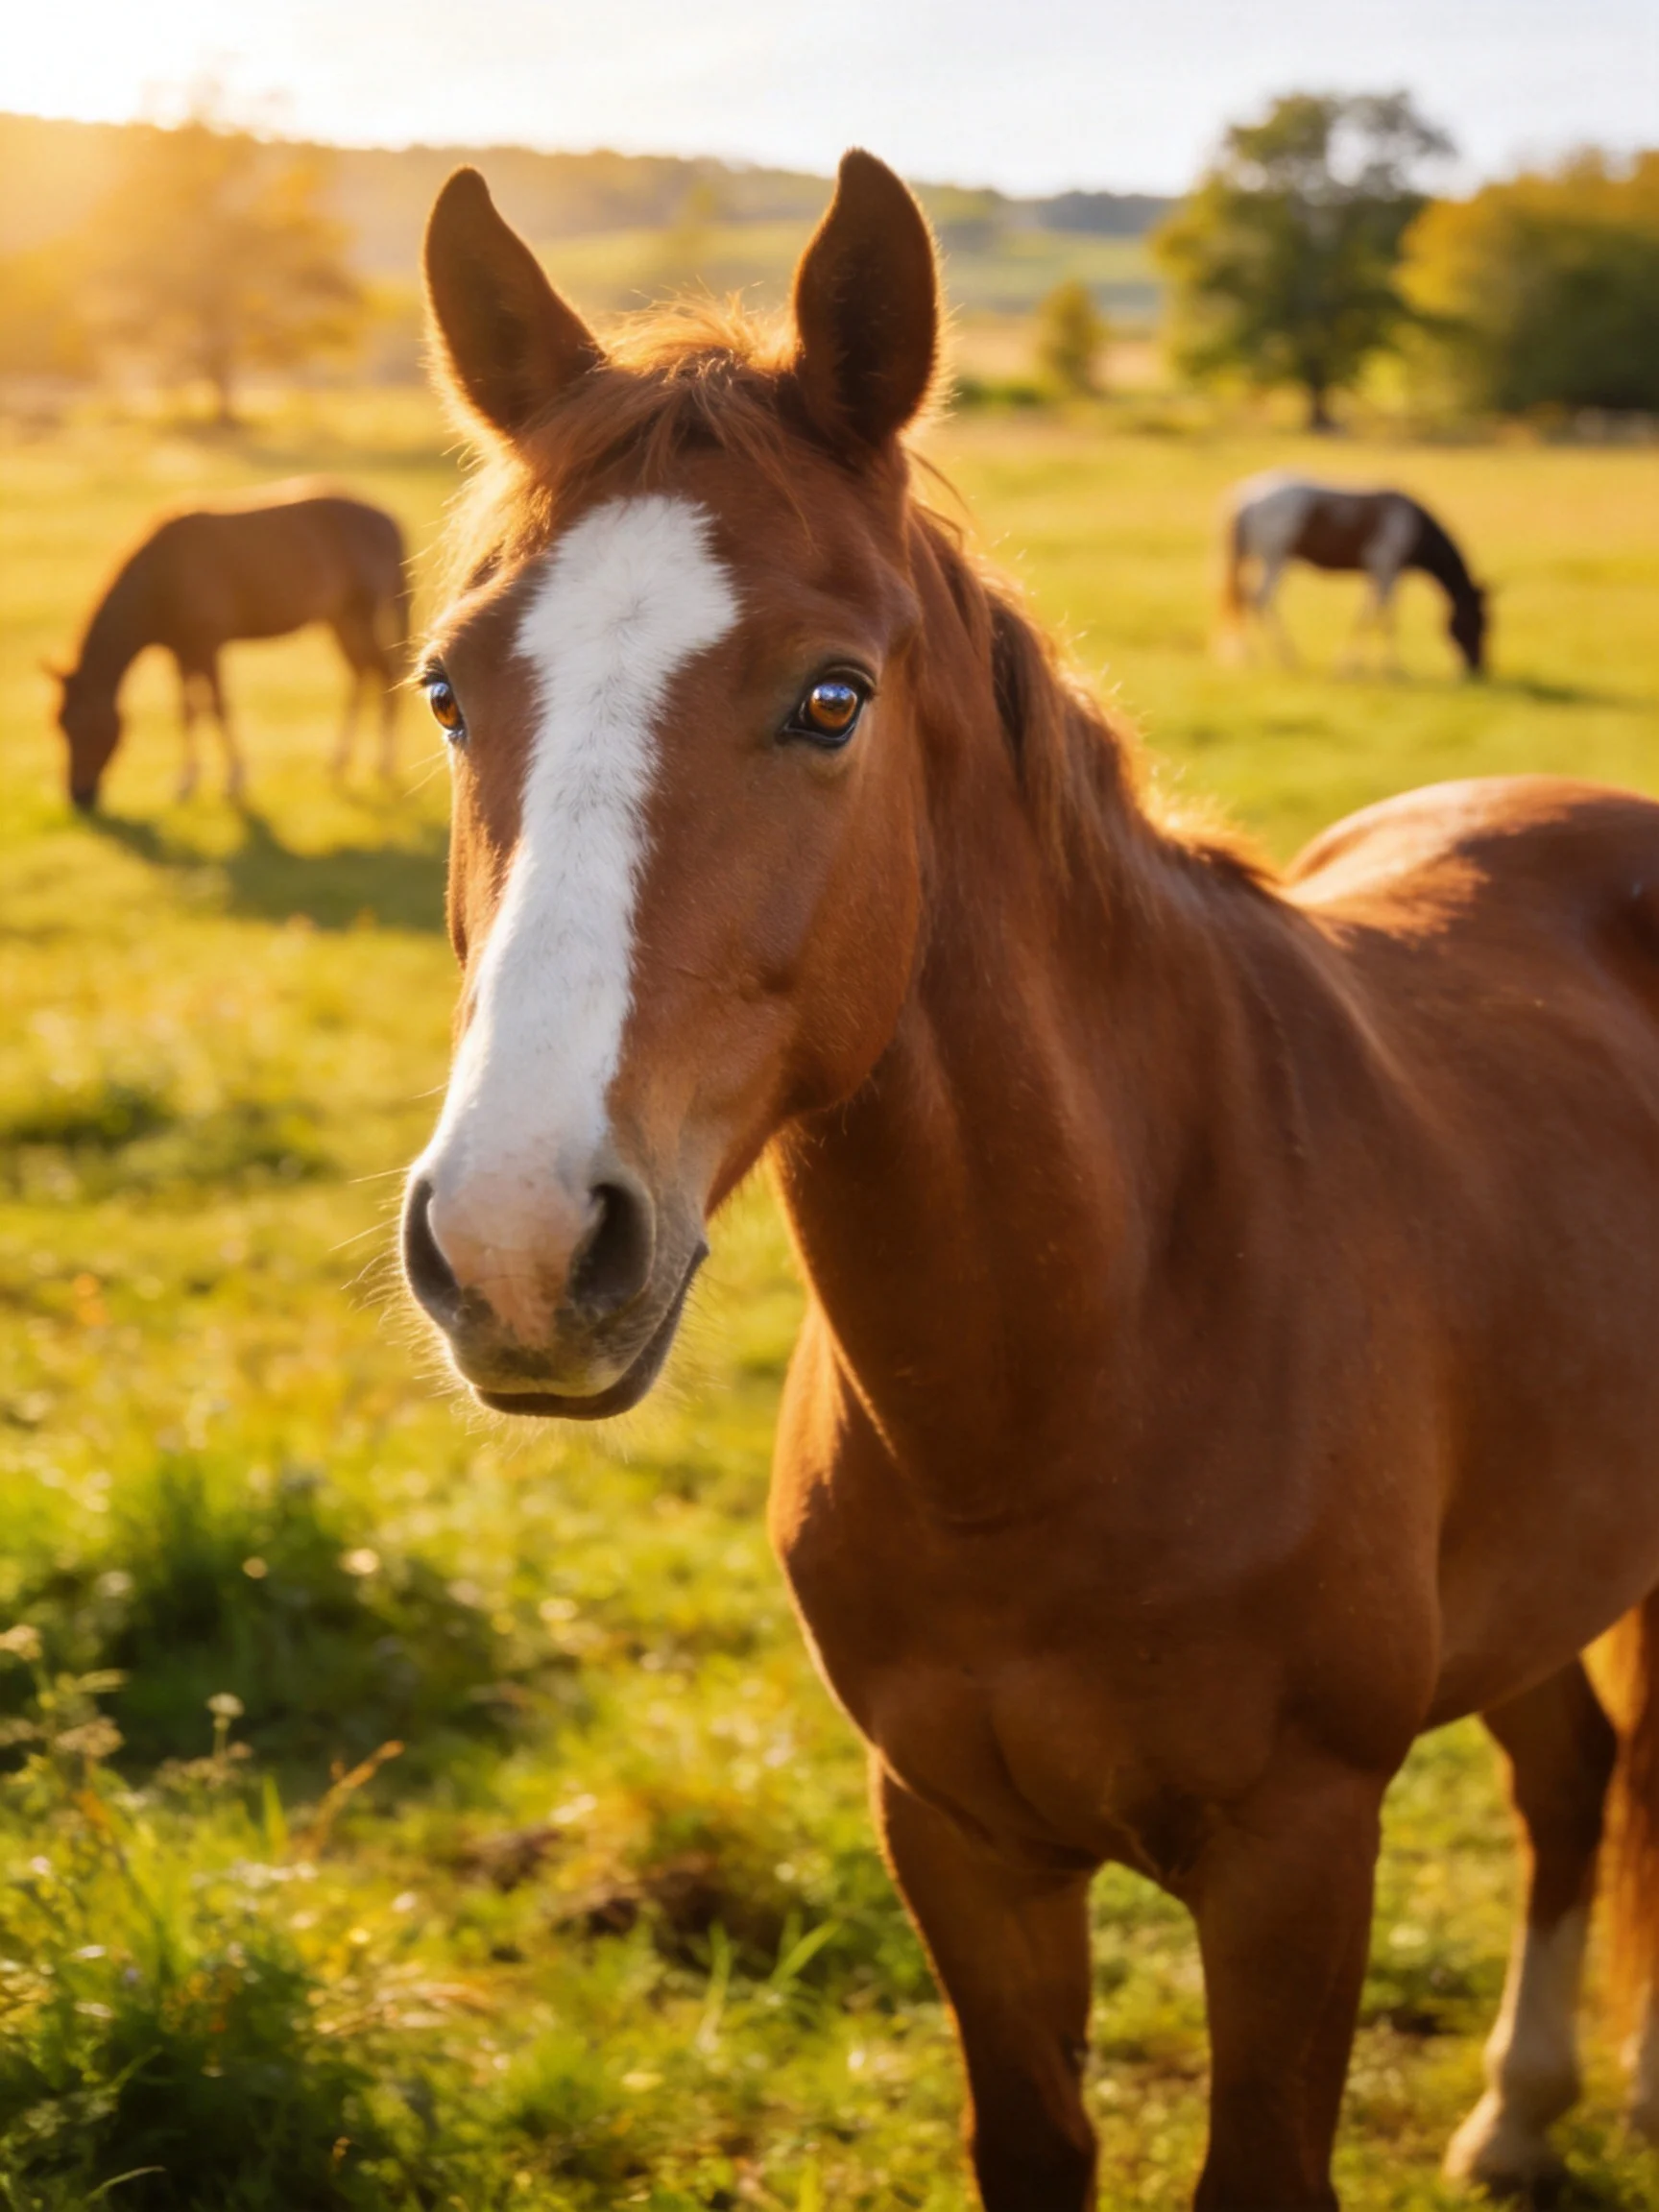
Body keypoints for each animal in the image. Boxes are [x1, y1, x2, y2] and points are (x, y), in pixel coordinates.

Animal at [50, 483, 411, 811]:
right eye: (59, 725)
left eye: (80, 726)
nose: (77, 796)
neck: (162, 576)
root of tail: (389, 519)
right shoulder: (179, 652)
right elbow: (187, 711)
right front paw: (186, 782)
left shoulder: (207, 644)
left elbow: (217, 706)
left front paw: (234, 779)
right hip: (341, 618)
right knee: (362, 672)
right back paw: (339, 764)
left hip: (361, 613)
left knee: (384, 672)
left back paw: (384, 764)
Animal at [1221, 472, 1490, 677]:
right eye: (1477, 622)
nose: (1477, 668)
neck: (1414, 528)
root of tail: (1244, 498)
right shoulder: (1386, 571)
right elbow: (1386, 618)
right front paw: (1392, 667)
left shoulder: (1379, 575)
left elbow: (1366, 615)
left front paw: (1350, 663)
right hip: (1274, 560)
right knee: (1259, 599)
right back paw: (1283, 656)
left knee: (1245, 598)